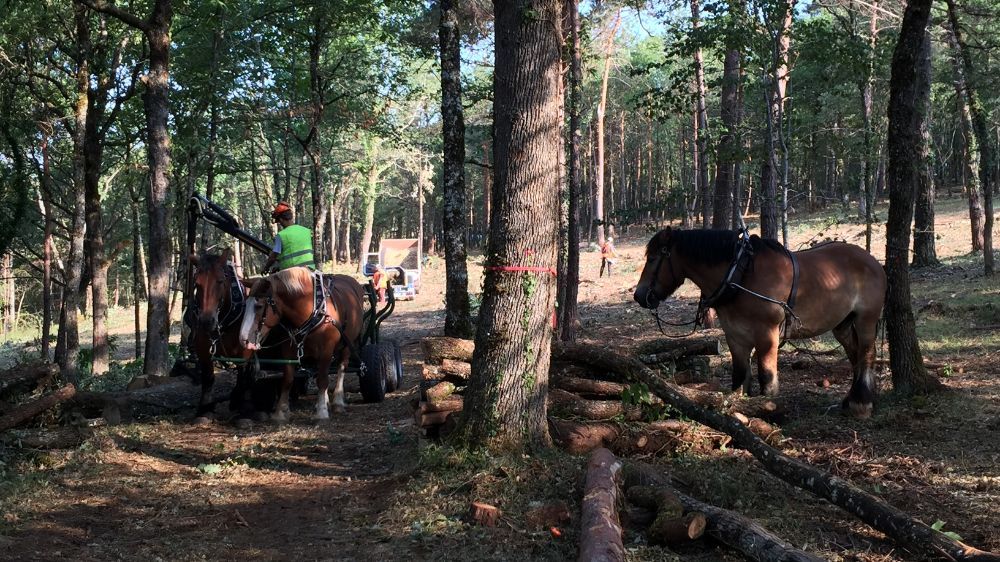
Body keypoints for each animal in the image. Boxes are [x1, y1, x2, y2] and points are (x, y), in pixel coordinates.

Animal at [238, 266, 364, 420]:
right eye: (245, 305)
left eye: (259, 306)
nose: (243, 339)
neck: (312, 308)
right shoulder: (288, 348)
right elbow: (288, 379)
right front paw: (280, 412)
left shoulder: (327, 348)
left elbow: (322, 379)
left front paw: (322, 412)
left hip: (347, 343)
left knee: (341, 368)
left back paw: (338, 402)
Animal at [636, 226, 888, 416]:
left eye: (653, 258)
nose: (639, 296)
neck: (741, 275)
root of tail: (874, 261)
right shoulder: (735, 336)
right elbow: (740, 377)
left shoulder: (768, 335)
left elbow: (766, 378)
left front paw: (769, 411)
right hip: (842, 324)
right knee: (854, 354)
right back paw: (852, 399)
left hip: (866, 319)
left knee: (866, 354)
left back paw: (862, 403)